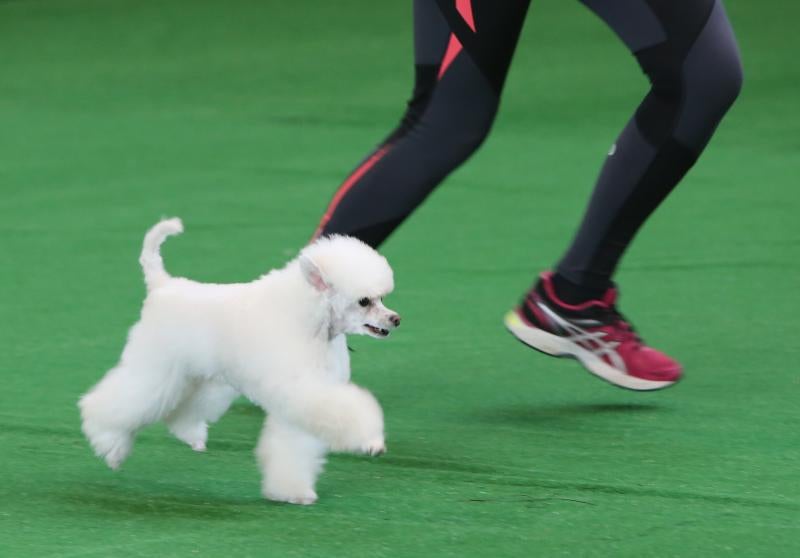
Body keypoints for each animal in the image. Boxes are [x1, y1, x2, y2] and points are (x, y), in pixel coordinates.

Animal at [78, 220, 396, 508]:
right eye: (364, 301)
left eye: (381, 298)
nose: (396, 319)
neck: (309, 322)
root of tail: (162, 285)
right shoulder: (303, 390)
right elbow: (348, 413)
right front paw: (371, 441)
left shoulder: (304, 396)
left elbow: (294, 445)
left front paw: (292, 492)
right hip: (156, 368)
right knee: (115, 403)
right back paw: (112, 447)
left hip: (202, 376)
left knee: (181, 411)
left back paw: (191, 437)